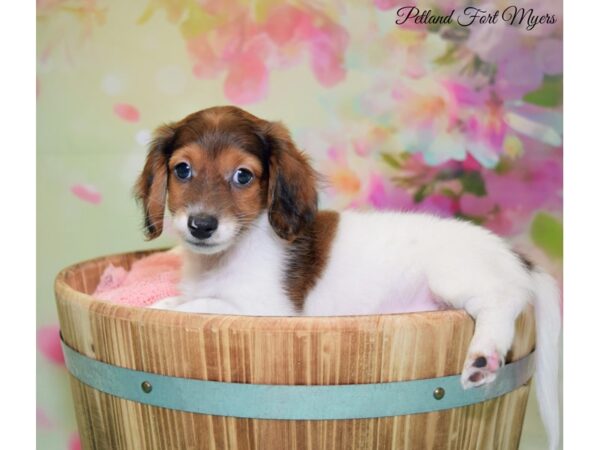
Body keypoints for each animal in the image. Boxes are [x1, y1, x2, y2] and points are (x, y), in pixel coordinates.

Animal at [136, 106, 564, 450]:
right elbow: (189, 298)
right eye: (183, 170)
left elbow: (201, 304)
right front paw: (170, 299)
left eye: (243, 176)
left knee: (505, 299)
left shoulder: (269, 309)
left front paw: (167, 306)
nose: (201, 225)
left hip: (456, 277)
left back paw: (483, 356)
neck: (224, 258)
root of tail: (517, 256)